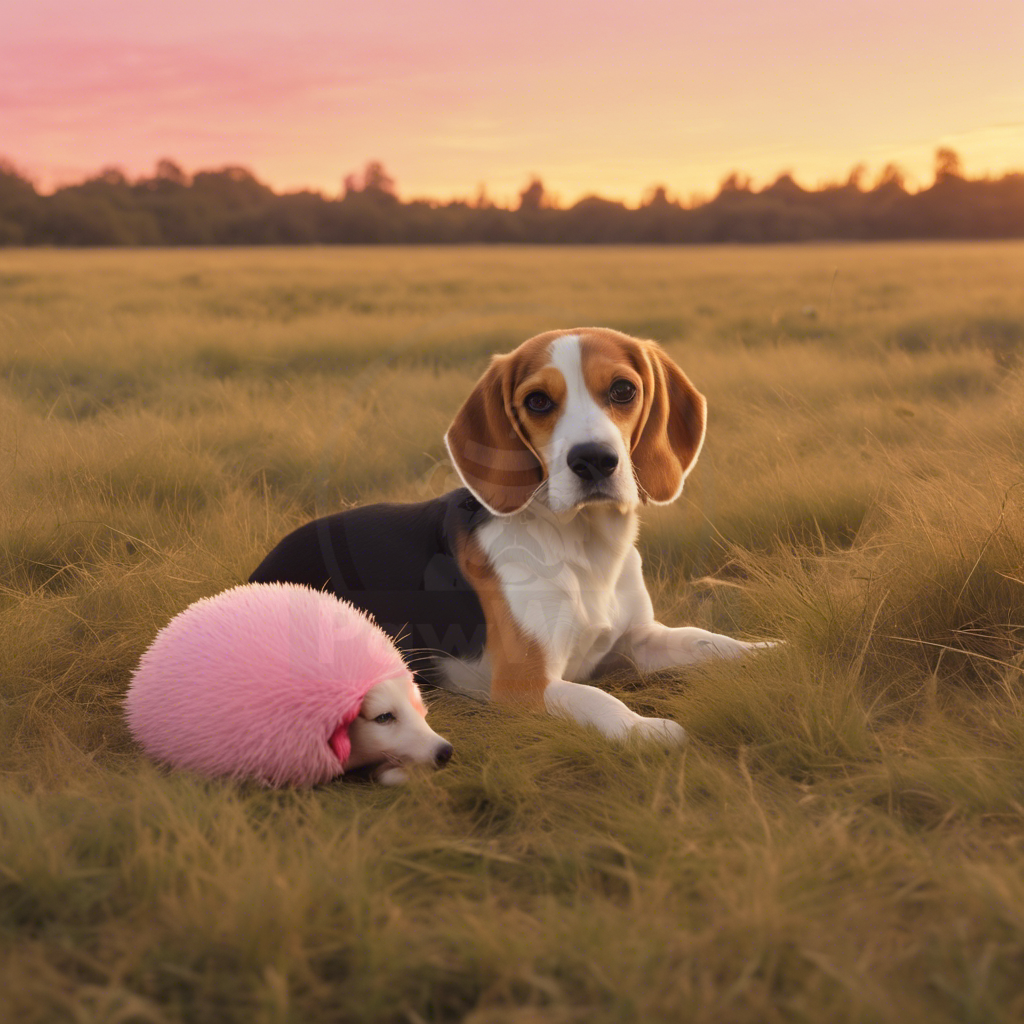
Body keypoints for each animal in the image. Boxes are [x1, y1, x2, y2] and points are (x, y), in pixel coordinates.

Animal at [251, 327, 770, 745]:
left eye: (623, 390)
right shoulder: (524, 684)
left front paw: (765, 652)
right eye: (537, 400)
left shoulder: (637, 640)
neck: (584, 549)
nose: (593, 460)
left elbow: (705, 641)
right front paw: (645, 728)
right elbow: (596, 699)